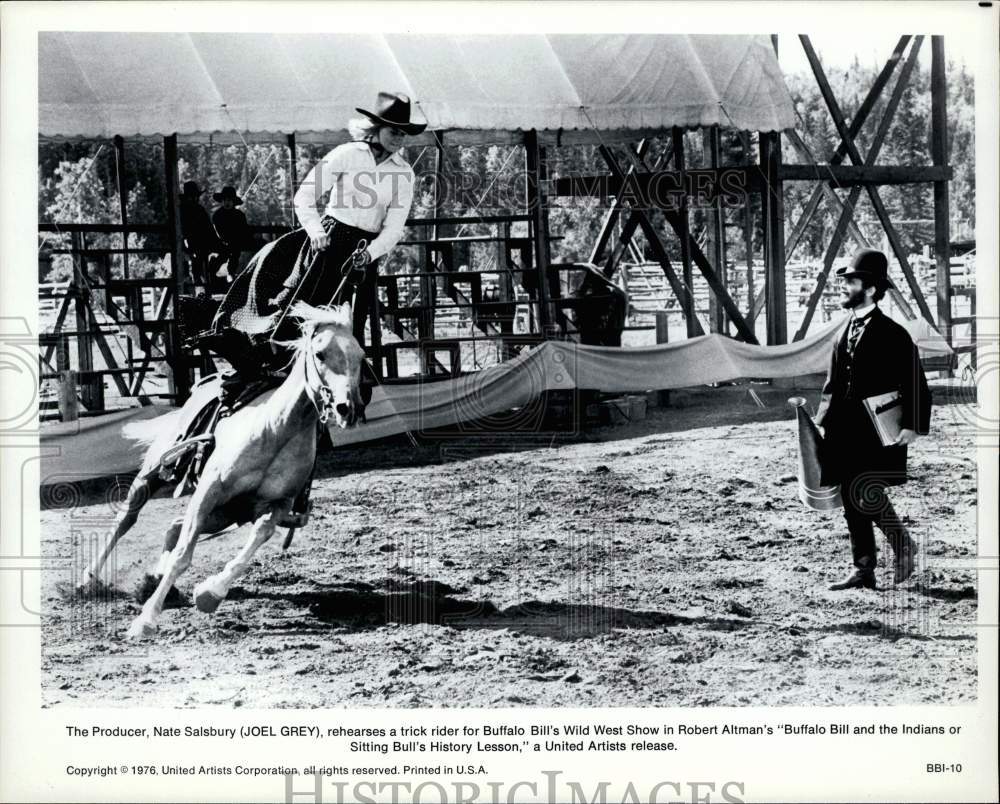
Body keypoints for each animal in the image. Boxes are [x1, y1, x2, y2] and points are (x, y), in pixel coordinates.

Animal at [76, 302, 368, 640]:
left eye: (361, 355)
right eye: (320, 354)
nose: (348, 408)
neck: (277, 430)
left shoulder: (275, 506)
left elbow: (256, 539)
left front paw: (210, 593)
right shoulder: (209, 492)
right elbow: (183, 555)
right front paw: (146, 620)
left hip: (226, 513)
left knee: (174, 527)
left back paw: (154, 581)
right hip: (154, 476)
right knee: (126, 520)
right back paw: (87, 581)